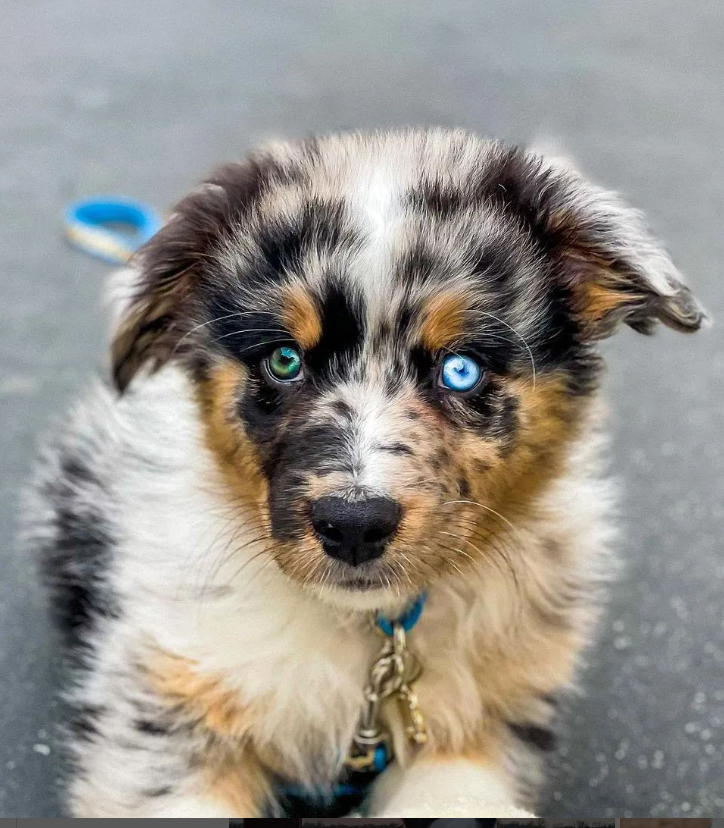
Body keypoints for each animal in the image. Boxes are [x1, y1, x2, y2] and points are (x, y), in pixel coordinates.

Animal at [23, 128, 705, 817]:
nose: (352, 525)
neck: (371, 627)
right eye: (284, 360)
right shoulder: (169, 697)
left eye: (461, 369)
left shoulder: (474, 724)